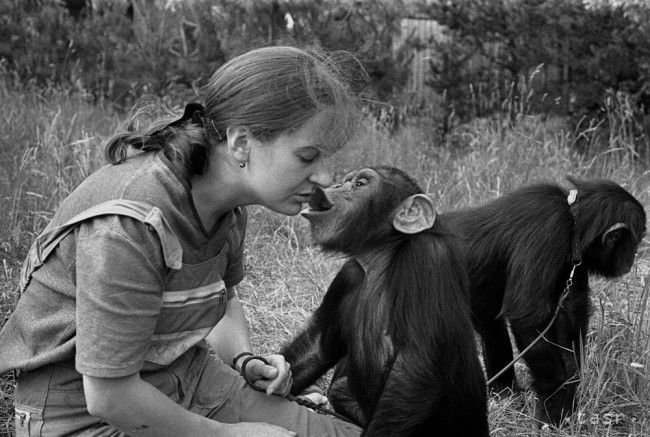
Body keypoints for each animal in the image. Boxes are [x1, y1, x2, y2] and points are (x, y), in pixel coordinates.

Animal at [280, 167, 488, 436]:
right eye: (346, 181)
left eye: (360, 184)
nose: (335, 186)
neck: (382, 259)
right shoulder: (348, 275)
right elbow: (318, 343)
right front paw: (270, 373)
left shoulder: (430, 258)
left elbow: (412, 370)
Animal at [438, 175, 644, 424]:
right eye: (636, 241)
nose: (633, 256)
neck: (573, 219)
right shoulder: (548, 231)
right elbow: (528, 316)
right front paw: (553, 405)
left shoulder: (574, 261)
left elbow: (569, 310)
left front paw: (570, 390)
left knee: (492, 330)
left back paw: (504, 391)